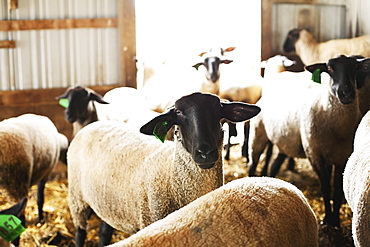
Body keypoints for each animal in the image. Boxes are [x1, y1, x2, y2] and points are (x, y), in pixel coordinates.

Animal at [66, 91, 260, 246]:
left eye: (217, 110)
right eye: (179, 113)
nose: (205, 153)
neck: (172, 178)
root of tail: (91, 125)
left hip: (109, 201)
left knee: (104, 232)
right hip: (77, 197)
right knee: (80, 232)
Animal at [247, 55, 370, 227]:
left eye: (355, 67)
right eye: (329, 68)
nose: (346, 93)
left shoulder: (341, 157)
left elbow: (337, 192)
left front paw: (336, 222)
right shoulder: (314, 153)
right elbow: (325, 188)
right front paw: (327, 220)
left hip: (284, 143)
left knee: (274, 165)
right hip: (258, 135)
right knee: (252, 164)